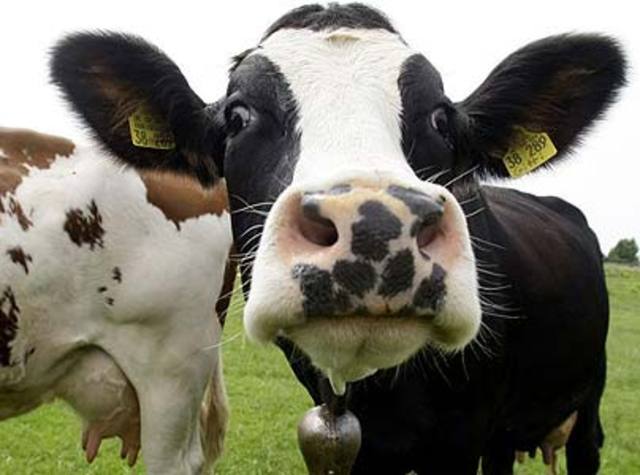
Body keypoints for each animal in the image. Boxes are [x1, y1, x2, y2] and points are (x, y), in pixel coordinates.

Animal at [47, 3, 625, 474]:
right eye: (237, 115)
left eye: (441, 117)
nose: (375, 225)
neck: (387, 399)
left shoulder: (461, 438)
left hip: (590, 391)